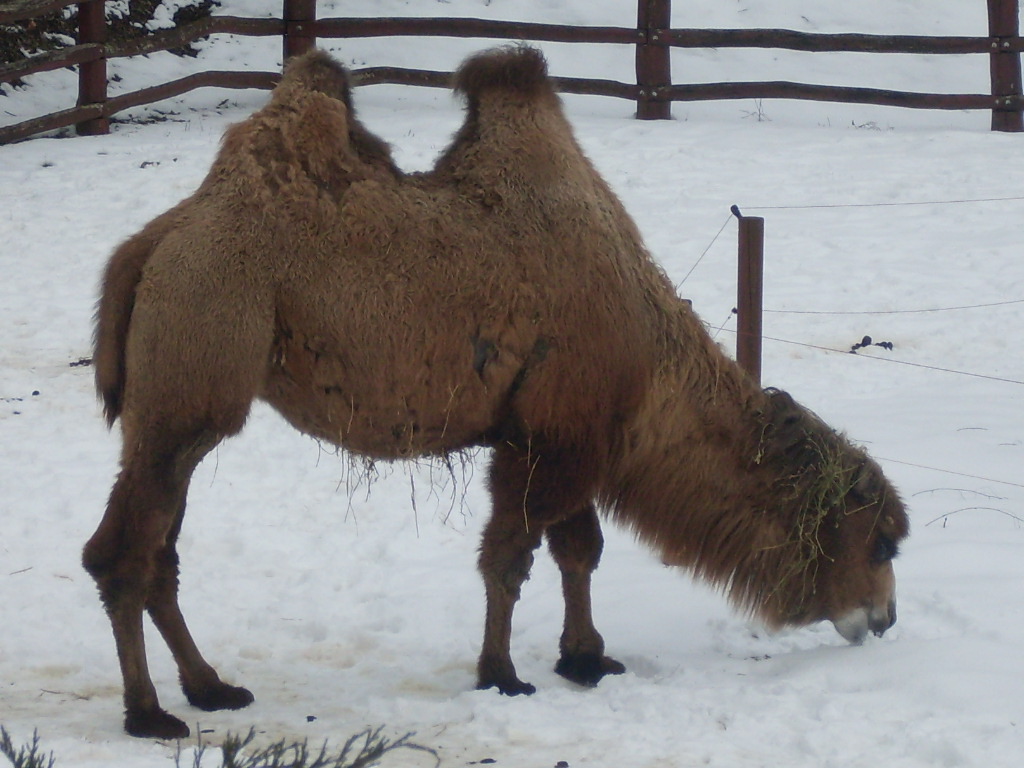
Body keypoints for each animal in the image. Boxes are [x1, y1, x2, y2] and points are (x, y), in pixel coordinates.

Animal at [84, 46, 909, 739]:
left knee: (160, 550)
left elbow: (578, 550)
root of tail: (153, 244)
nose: (884, 617)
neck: (650, 363)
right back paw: (151, 713)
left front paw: (585, 657)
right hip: (199, 365)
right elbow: (510, 557)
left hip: (171, 407)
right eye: (878, 538)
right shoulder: (551, 436)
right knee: (122, 552)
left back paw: (211, 688)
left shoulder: (568, 430)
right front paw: (504, 675)